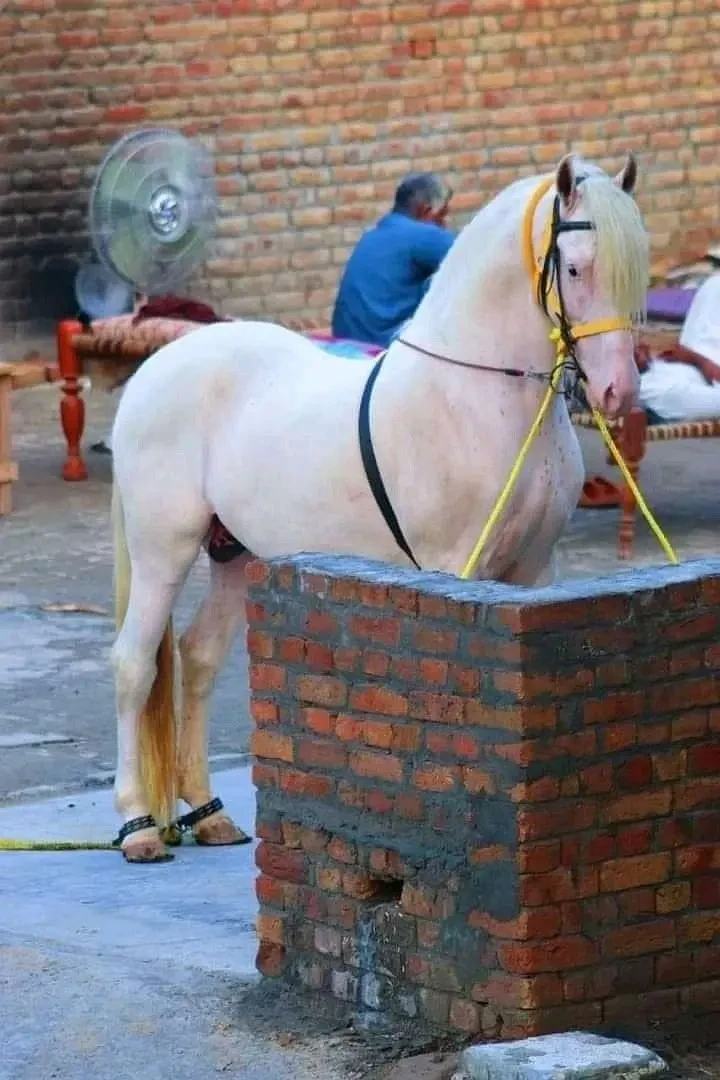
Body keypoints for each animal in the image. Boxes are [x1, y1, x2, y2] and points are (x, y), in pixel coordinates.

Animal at [110, 151, 649, 862]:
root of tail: (157, 367)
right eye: (578, 267)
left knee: (198, 658)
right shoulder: (451, 567)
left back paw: (209, 815)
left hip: (235, 552)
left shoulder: (533, 571)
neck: (474, 393)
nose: (617, 392)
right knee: (134, 666)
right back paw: (140, 827)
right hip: (162, 551)